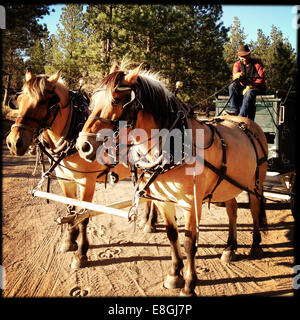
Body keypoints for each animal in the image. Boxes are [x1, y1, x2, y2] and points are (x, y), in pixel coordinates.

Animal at [5, 70, 157, 270]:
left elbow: (84, 215)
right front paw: (69, 241)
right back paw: (146, 219)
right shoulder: (65, 179)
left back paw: (150, 223)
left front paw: (81, 253)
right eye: (20, 99)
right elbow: (71, 210)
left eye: (42, 103)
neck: (73, 134)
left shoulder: (87, 182)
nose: (13, 142)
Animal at [76, 63, 268, 298]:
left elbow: (189, 242)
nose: (83, 146)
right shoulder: (164, 200)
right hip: (227, 184)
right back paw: (230, 248)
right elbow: (171, 235)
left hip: (255, 181)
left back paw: (255, 245)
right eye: (93, 100)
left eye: (116, 100)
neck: (174, 145)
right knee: (232, 210)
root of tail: (247, 122)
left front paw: (189, 285)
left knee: (255, 209)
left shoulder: (191, 203)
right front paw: (175, 274)